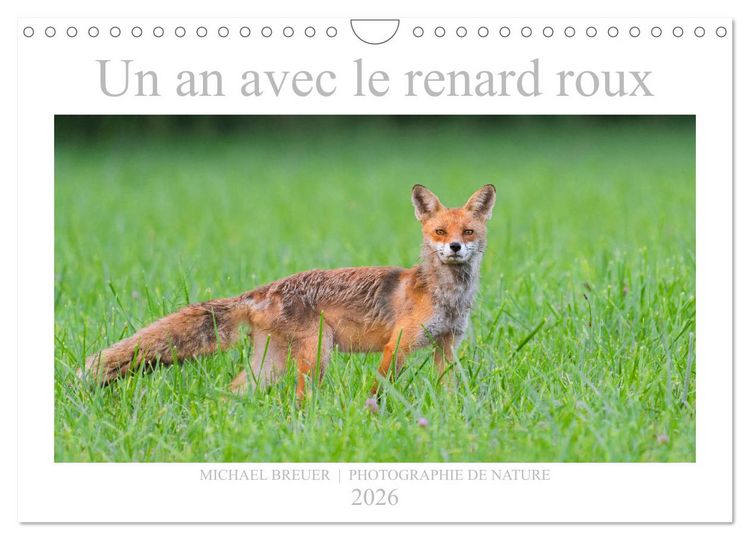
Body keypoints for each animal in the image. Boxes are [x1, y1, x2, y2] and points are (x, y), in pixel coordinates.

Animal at [81, 184, 496, 400]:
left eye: (468, 232)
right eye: (439, 232)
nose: (455, 248)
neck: (446, 296)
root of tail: (263, 289)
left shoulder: (447, 344)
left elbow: (450, 389)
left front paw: (452, 417)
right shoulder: (399, 344)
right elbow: (378, 389)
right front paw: (372, 415)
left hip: (270, 363)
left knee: (233, 389)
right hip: (316, 354)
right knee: (298, 398)